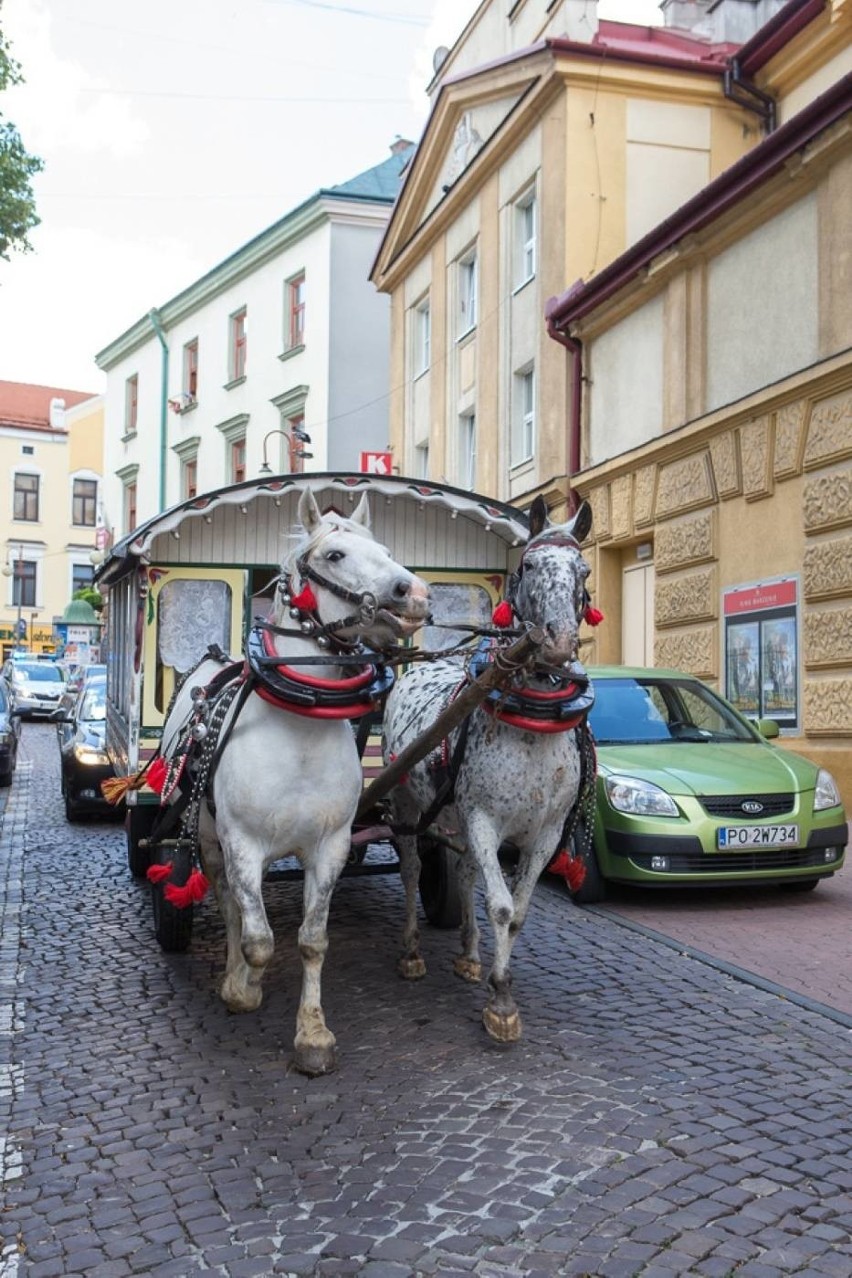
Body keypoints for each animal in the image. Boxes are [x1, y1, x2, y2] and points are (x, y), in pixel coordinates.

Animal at [159, 488, 429, 1078]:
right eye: (334, 555)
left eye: (385, 549)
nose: (415, 593)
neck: (299, 727)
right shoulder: (240, 843)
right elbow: (259, 939)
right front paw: (245, 987)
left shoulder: (330, 846)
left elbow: (312, 941)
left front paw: (312, 1034)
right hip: (207, 839)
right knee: (228, 902)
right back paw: (232, 972)